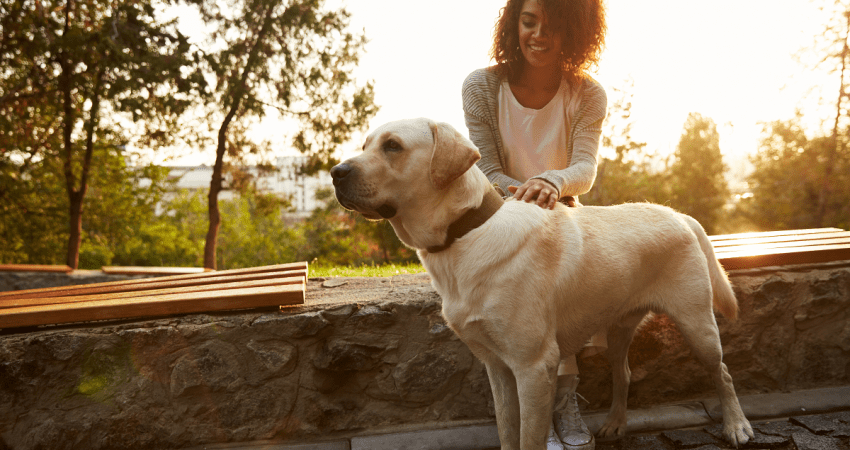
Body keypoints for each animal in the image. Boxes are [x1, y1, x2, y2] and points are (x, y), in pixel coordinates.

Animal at [328, 118, 752, 450]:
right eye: (365, 145)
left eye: (393, 146)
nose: (336, 172)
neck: (465, 234)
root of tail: (678, 214)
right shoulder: (497, 368)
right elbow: (507, 432)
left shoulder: (533, 366)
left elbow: (530, 438)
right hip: (617, 327)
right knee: (624, 373)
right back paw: (616, 424)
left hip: (697, 323)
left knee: (723, 372)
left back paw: (736, 426)